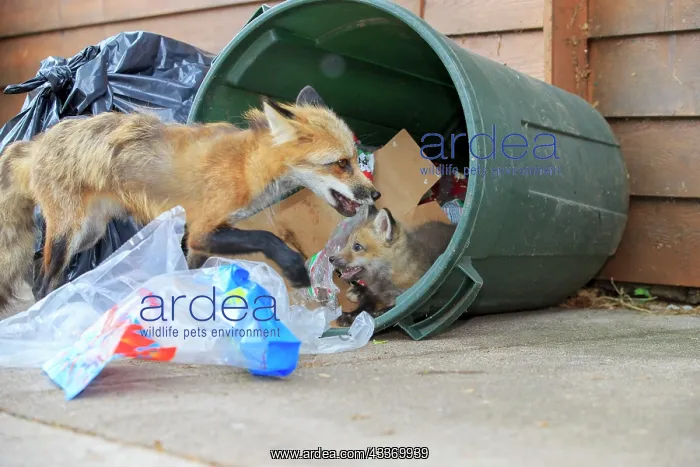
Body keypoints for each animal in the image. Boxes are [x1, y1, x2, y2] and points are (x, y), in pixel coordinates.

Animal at [0, 85, 381, 313]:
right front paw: (294, 269)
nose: (375, 194)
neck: (248, 166)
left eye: (354, 155)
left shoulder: (202, 240)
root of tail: (35, 143)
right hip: (69, 234)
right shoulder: (202, 229)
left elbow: (187, 271)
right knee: (43, 280)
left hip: (88, 234)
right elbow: (268, 238)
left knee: (36, 268)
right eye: (340, 164)